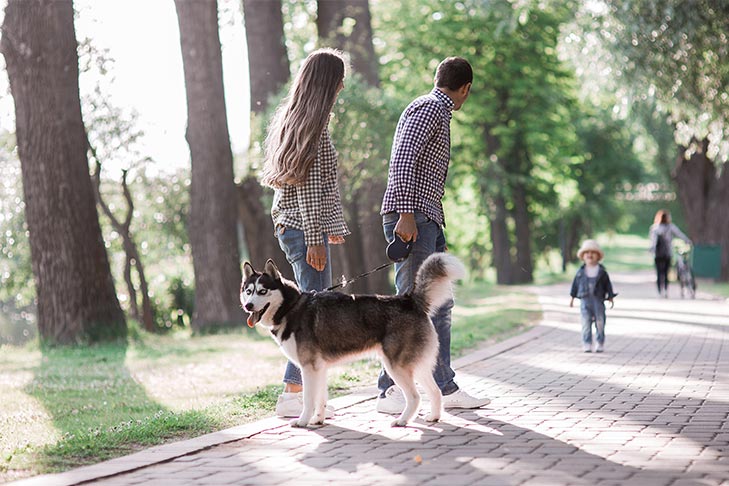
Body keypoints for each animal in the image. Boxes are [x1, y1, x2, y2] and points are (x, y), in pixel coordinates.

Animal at [242, 252, 464, 428]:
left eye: (262, 291)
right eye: (248, 291)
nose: (248, 306)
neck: (291, 307)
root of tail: (409, 300)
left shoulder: (308, 367)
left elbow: (308, 399)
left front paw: (303, 421)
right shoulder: (318, 368)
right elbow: (320, 399)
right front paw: (318, 419)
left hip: (396, 366)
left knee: (416, 397)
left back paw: (402, 420)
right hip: (417, 366)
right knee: (435, 391)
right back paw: (434, 417)